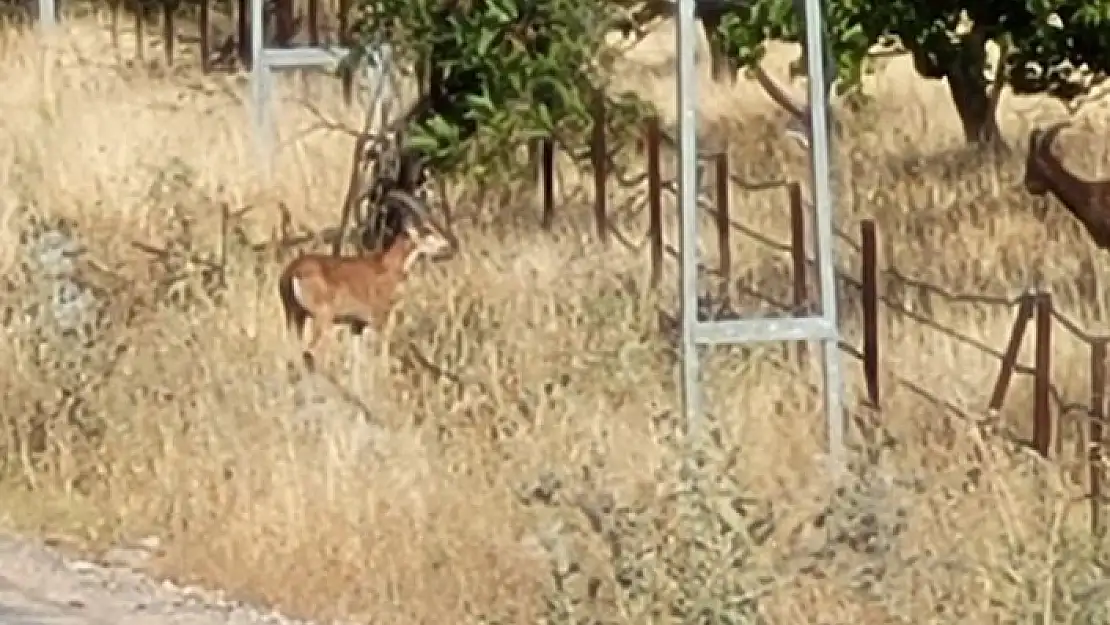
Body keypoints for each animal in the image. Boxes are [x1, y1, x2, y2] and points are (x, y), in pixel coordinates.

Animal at [277, 193, 455, 368]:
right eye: (427, 229)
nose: (448, 245)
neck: (386, 265)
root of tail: (293, 271)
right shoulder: (380, 319)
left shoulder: (357, 325)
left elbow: (356, 359)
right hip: (322, 319)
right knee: (310, 353)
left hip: (295, 316)